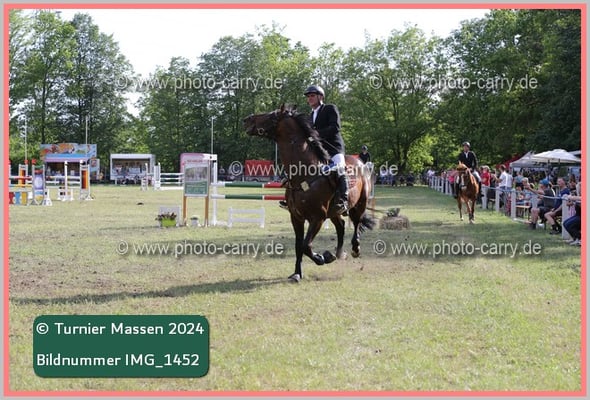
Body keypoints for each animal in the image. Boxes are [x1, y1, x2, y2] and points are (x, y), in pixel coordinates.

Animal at [243, 105, 375, 282]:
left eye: (272, 115)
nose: (247, 119)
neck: (303, 174)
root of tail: (360, 162)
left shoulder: (317, 218)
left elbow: (306, 245)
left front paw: (322, 258)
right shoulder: (296, 217)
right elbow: (299, 246)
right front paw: (297, 273)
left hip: (359, 204)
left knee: (357, 223)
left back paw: (354, 249)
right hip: (333, 212)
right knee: (341, 226)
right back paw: (339, 253)